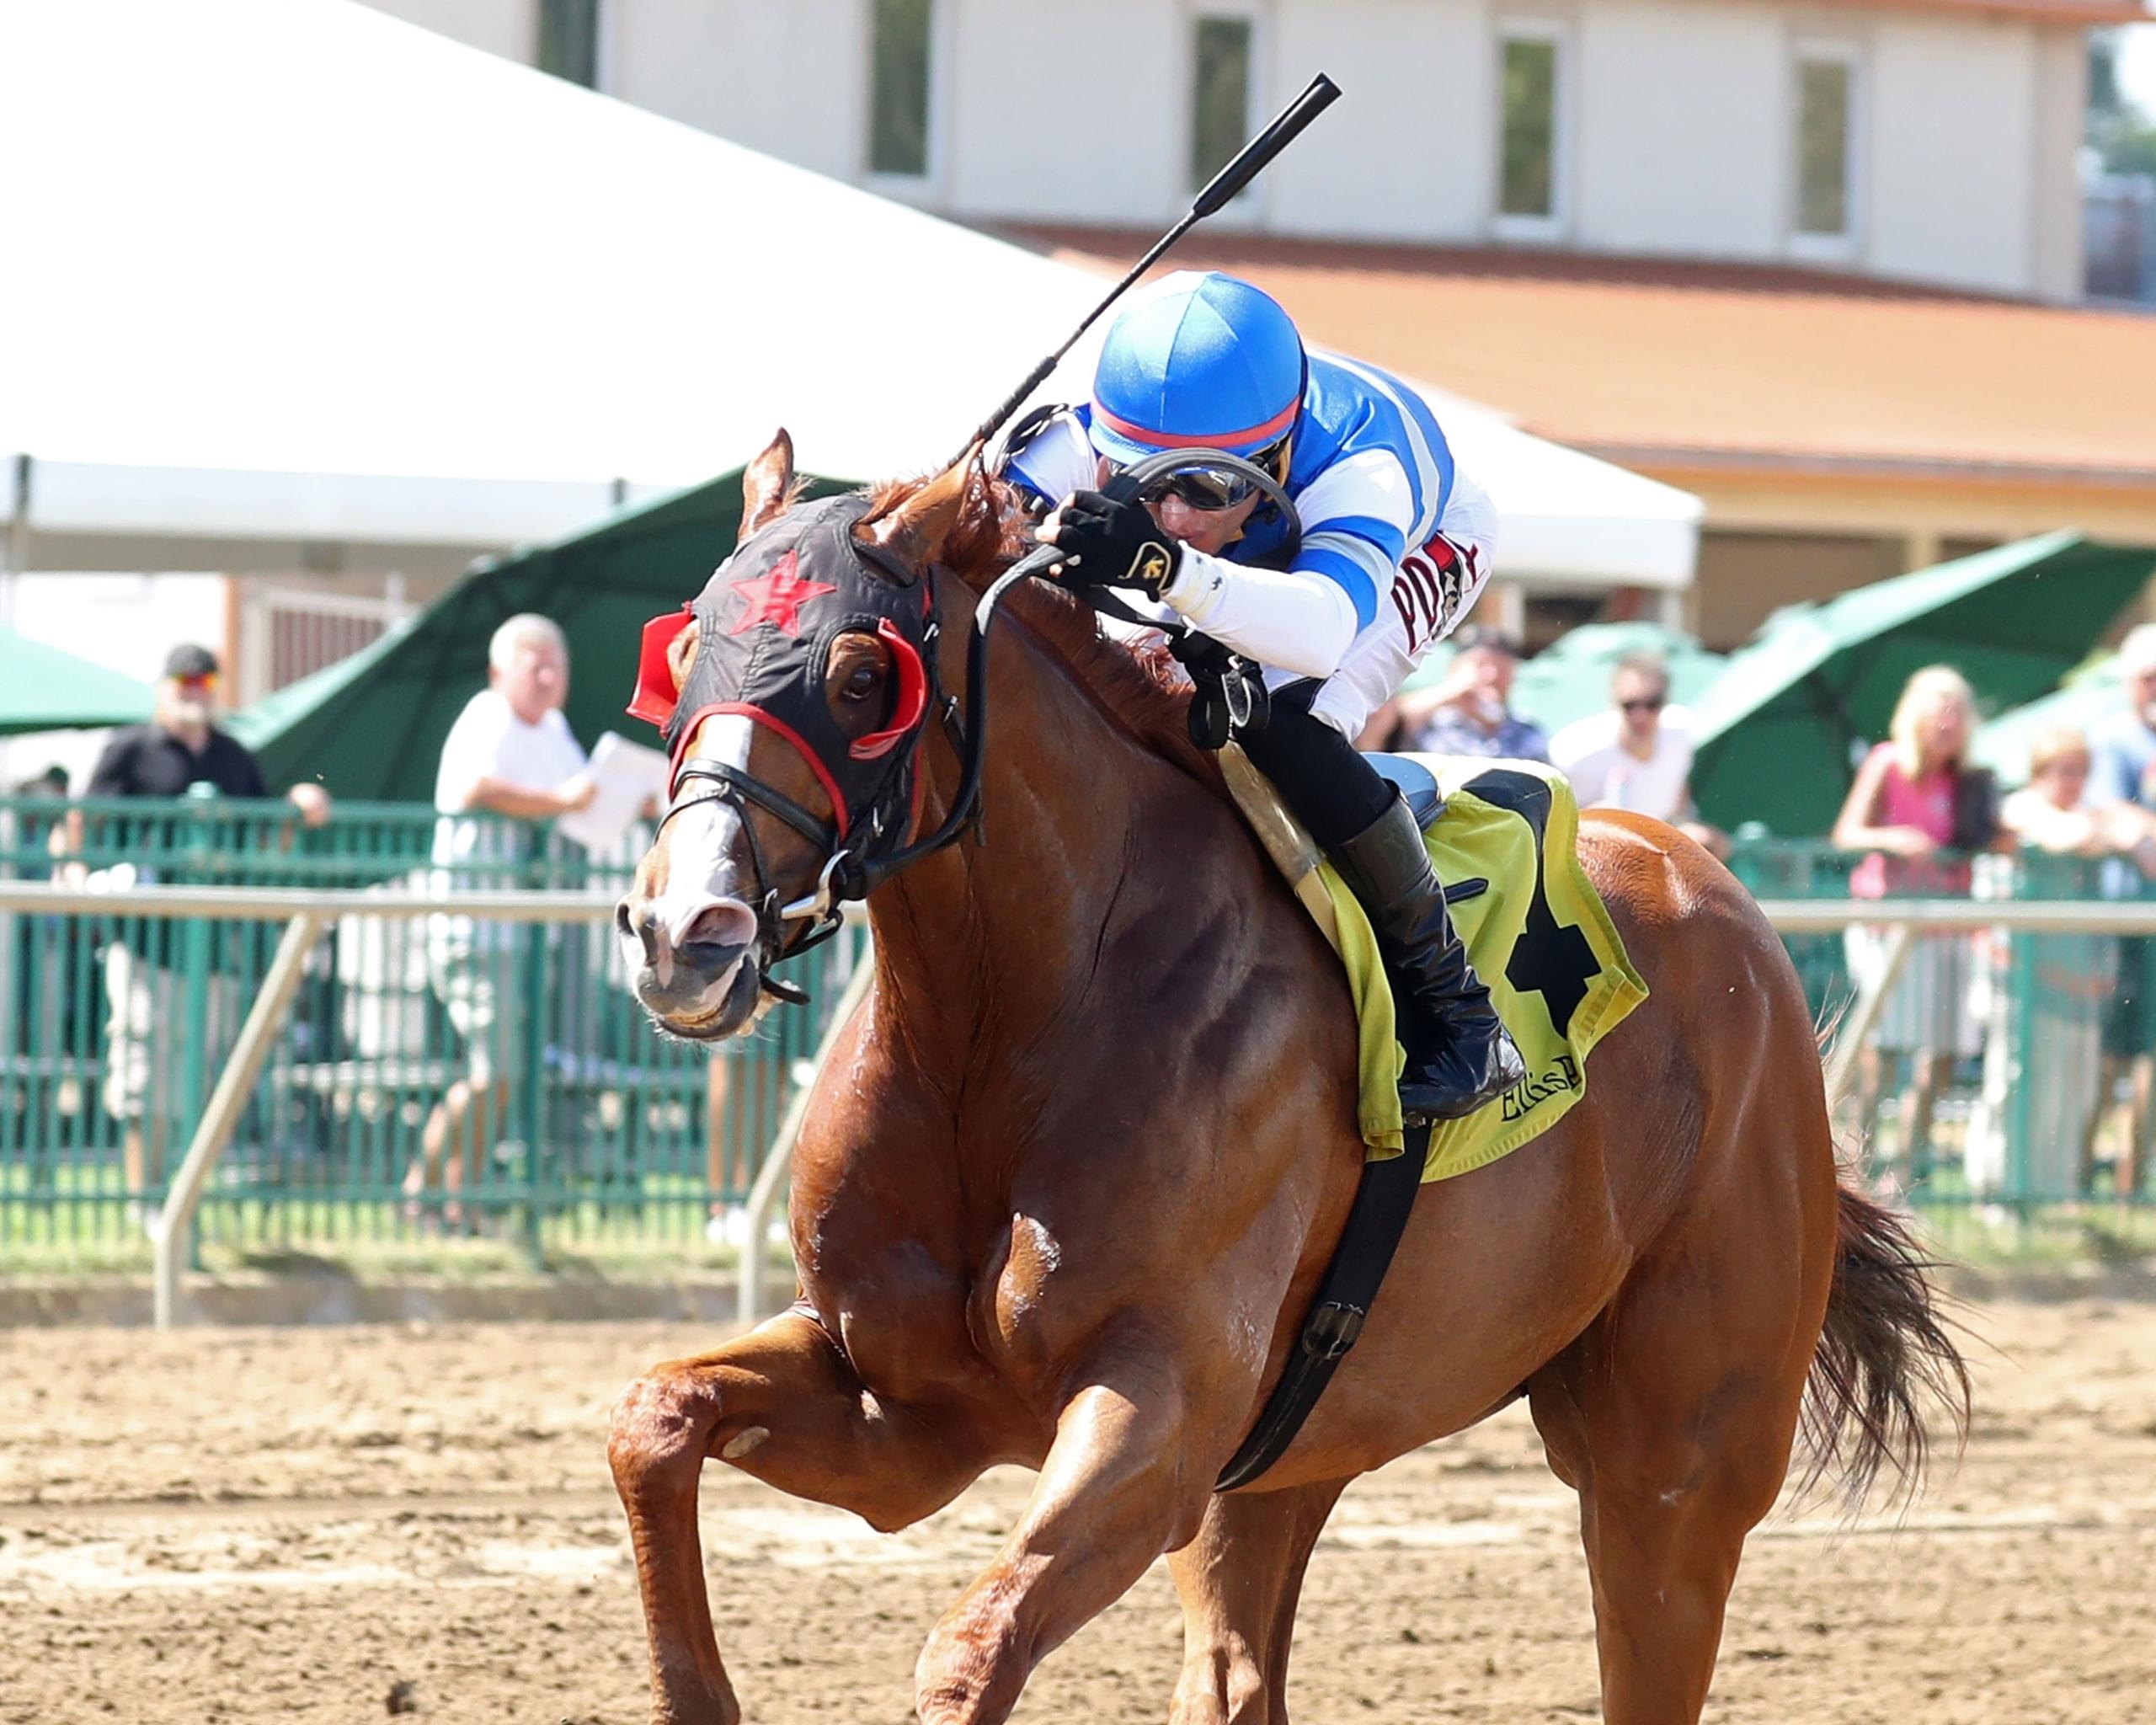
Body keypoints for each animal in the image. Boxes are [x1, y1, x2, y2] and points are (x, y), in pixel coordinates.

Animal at [608, 432, 1968, 1725]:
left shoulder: (1157, 1414)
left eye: (858, 677)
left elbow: (970, 1648)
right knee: (1235, 1673)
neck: (1010, 1026)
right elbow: (652, 1418)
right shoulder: (906, 1407)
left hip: (1672, 1466)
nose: (687, 933)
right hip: (1290, 1456)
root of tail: (1724, 900)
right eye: (686, 655)